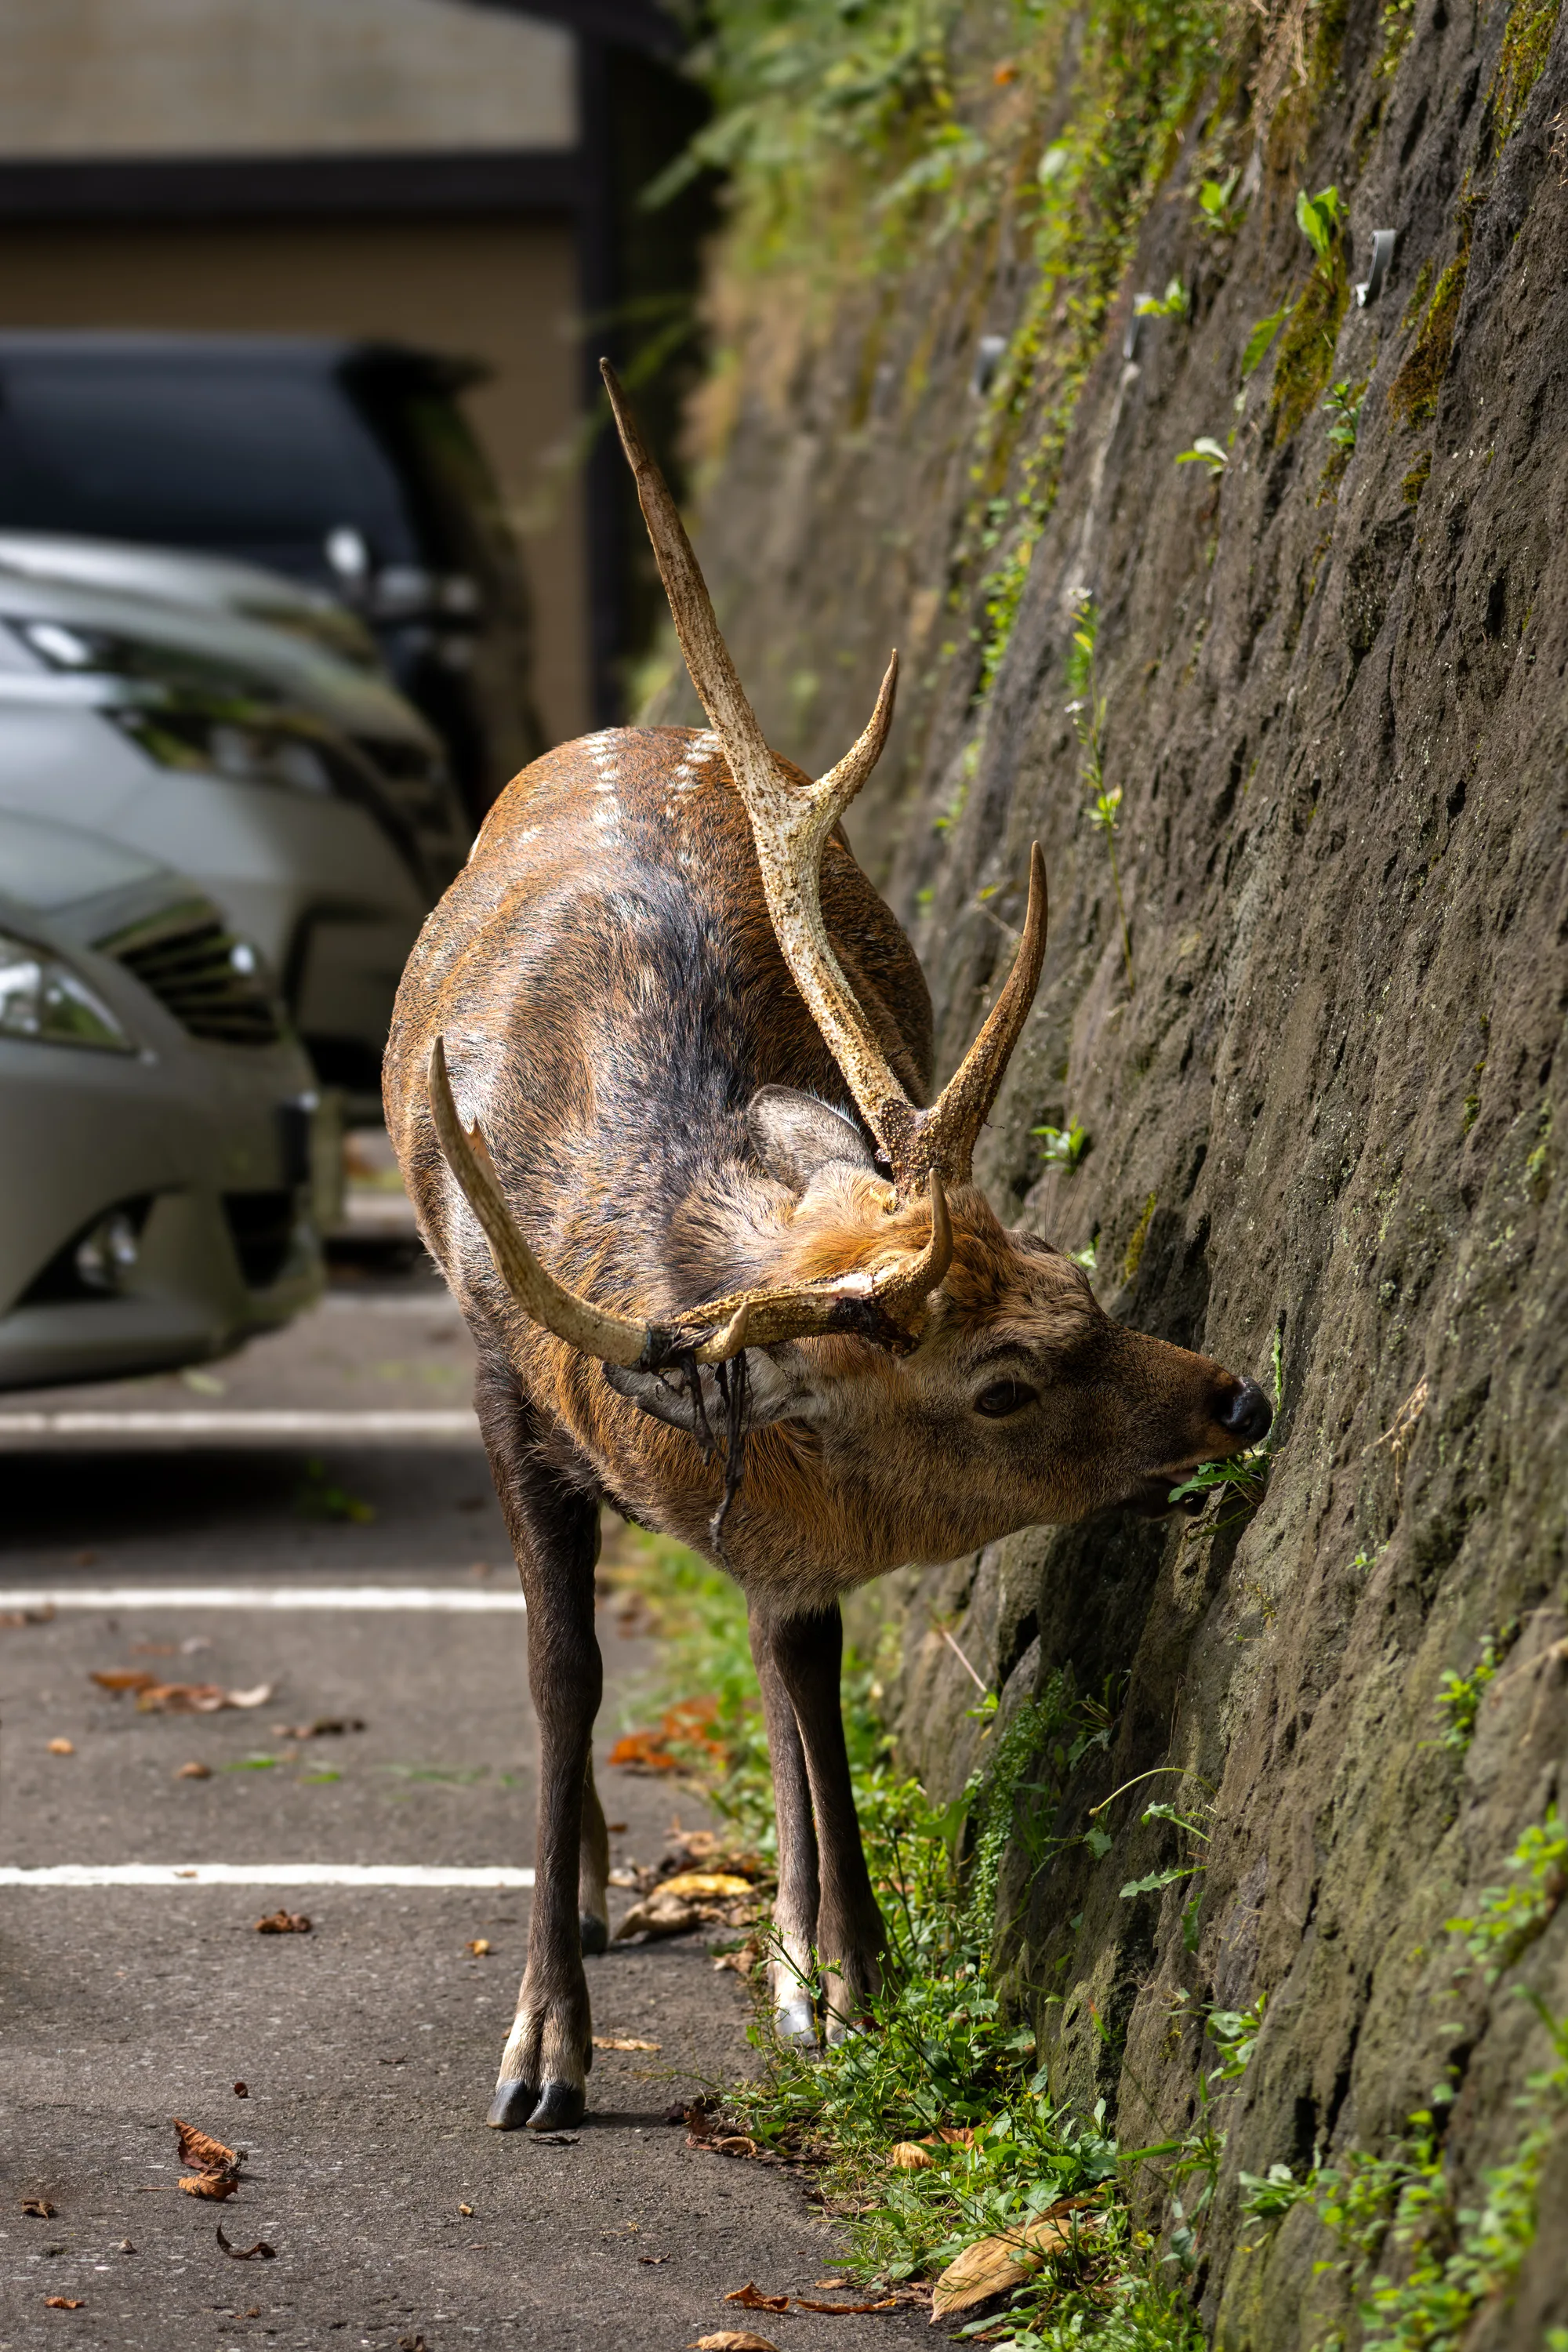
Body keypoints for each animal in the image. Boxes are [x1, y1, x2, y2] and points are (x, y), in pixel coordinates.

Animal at [382, 364, 1271, 2134]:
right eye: (1000, 1384)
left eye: (1081, 1276)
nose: (1237, 1398)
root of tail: (627, 721)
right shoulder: (499, 1380)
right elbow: (560, 1674)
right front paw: (542, 2047)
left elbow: (799, 1644)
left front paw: (841, 1972)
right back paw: (601, 1886)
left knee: (770, 1631)